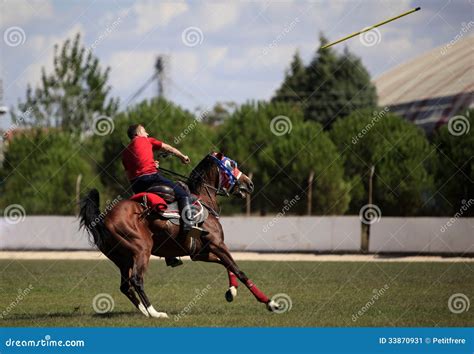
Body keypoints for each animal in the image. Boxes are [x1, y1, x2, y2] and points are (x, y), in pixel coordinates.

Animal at [80, 152, 282, 318]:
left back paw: (145, 311)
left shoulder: (200, 252)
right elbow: (238, 270)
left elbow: (227, 266)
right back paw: (155, 313)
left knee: (125, 286)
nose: (249, 183)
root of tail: (102, 218)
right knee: (136, 280)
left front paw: (231, 291)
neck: (204, 200)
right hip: (141, 250)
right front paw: (270, 303)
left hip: (122, 258)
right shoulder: (217, 244)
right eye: (231, 164)